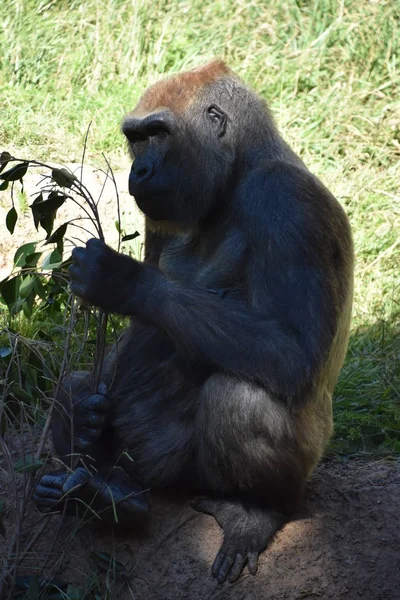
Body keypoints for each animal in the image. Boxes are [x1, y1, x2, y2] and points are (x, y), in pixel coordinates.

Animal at [33, 62, 354, 584]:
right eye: (136, 139)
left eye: (159, 134)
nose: (138, 171)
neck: (239, 172)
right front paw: (87, 414)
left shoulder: (286, 203)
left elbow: (295, 350)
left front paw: (127, 283)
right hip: (141, 465)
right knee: (76, 387)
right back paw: (106, 492)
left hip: (204, 475)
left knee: (242, 396)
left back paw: (255, 510)